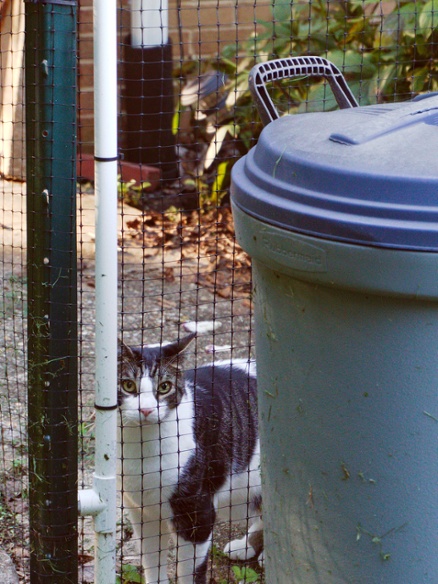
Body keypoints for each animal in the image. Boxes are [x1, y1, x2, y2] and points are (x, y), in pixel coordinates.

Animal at [117, 334, 264, 584]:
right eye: (128, 385)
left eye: (164, 387)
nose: (146, 410)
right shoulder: (142, 513)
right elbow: (151, 562)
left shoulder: (196, 514)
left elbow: (190, 570)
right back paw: (246, 546)